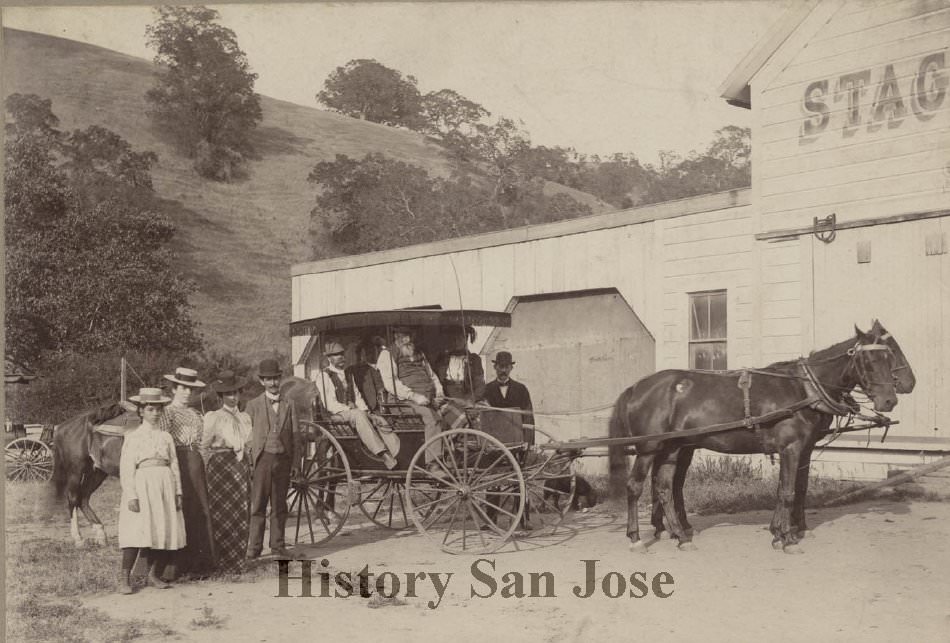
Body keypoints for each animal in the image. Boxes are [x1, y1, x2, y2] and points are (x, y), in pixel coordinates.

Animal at [612, 324, 904, 556]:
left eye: (888, 358)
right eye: (868, 361)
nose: (889, 400)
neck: (804, 389)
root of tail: (636, 387)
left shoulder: (805, 450)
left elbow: (797, 489)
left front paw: (783, 532)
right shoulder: (790, 448)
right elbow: (787, 492)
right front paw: (787, 539)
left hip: (672, 447)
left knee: (664, 487)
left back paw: (681, 537)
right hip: (649, 447)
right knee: (635, 486)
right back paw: (636, 538)